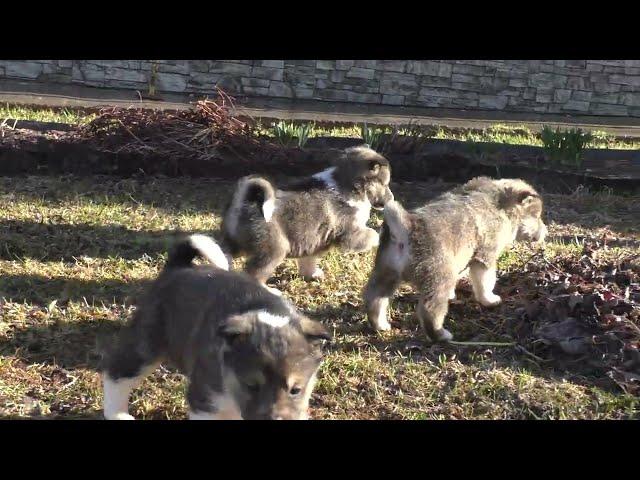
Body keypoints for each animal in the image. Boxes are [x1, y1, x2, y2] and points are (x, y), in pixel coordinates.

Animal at [101, 233, 330, 420]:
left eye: (296, 390)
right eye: (251, 386)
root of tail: (178, 267)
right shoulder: (206, 401)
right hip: (146, 344)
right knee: (117, 376)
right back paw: (118, 414)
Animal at [221, 145, 396, 284]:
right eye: (385, 183)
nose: (392, 199)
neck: (351, 184)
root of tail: (246, 201)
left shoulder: (313, 242)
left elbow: (308, 262)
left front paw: (312, 275)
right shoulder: (351, 234)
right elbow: (373, 234)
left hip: (233, 242)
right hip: (273, 250)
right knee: (254, 274)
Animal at [362, 176, 548, 342]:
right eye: (537, 216)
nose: (545, 233)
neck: (500, 203)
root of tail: (406, 227)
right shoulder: (484, 258)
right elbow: (485, 283)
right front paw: (489, 300)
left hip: (385, 273)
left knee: (374, 298)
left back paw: (380, 325)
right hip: (439, 278)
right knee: (429, 310)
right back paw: (441, 335)